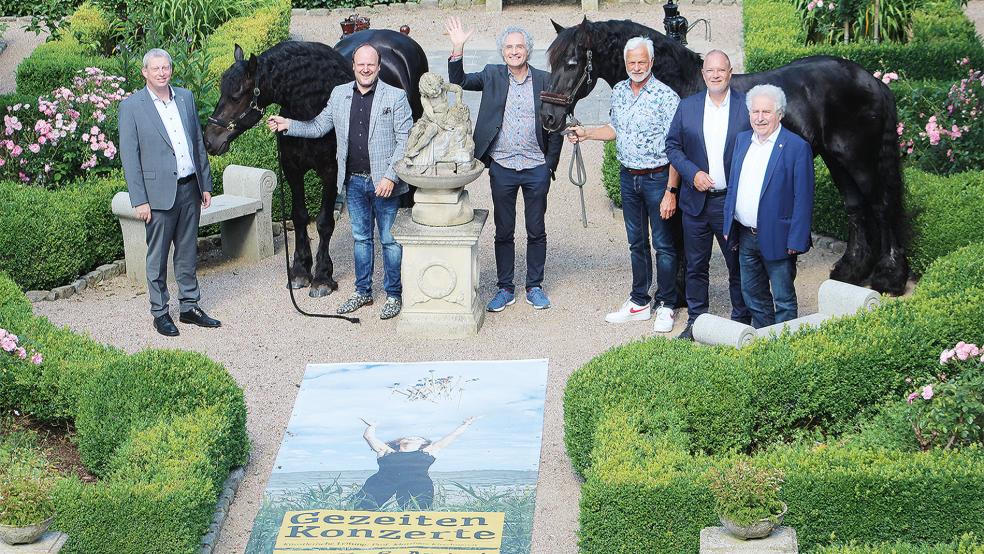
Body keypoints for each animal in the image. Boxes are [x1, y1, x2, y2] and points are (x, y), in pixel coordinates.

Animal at [204, 30, 426, 296]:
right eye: (220, 90)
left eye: (236, 95)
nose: (209, 140)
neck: (312, 106)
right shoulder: (293, 170)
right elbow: (299, 216)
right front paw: (300, 270)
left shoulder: (332, 173)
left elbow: (324, 222)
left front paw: (322, 276)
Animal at [540, 17, 912, 294]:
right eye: (551, 61)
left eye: (572, 62)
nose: (549, 118)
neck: (678, 85)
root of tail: (874, 82)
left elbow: (676, 237)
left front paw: (677, 296)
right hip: (838, 161)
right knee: (856, 208)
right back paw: (851, 270)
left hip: (858, 159)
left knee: (881, 207)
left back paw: (889, 277)